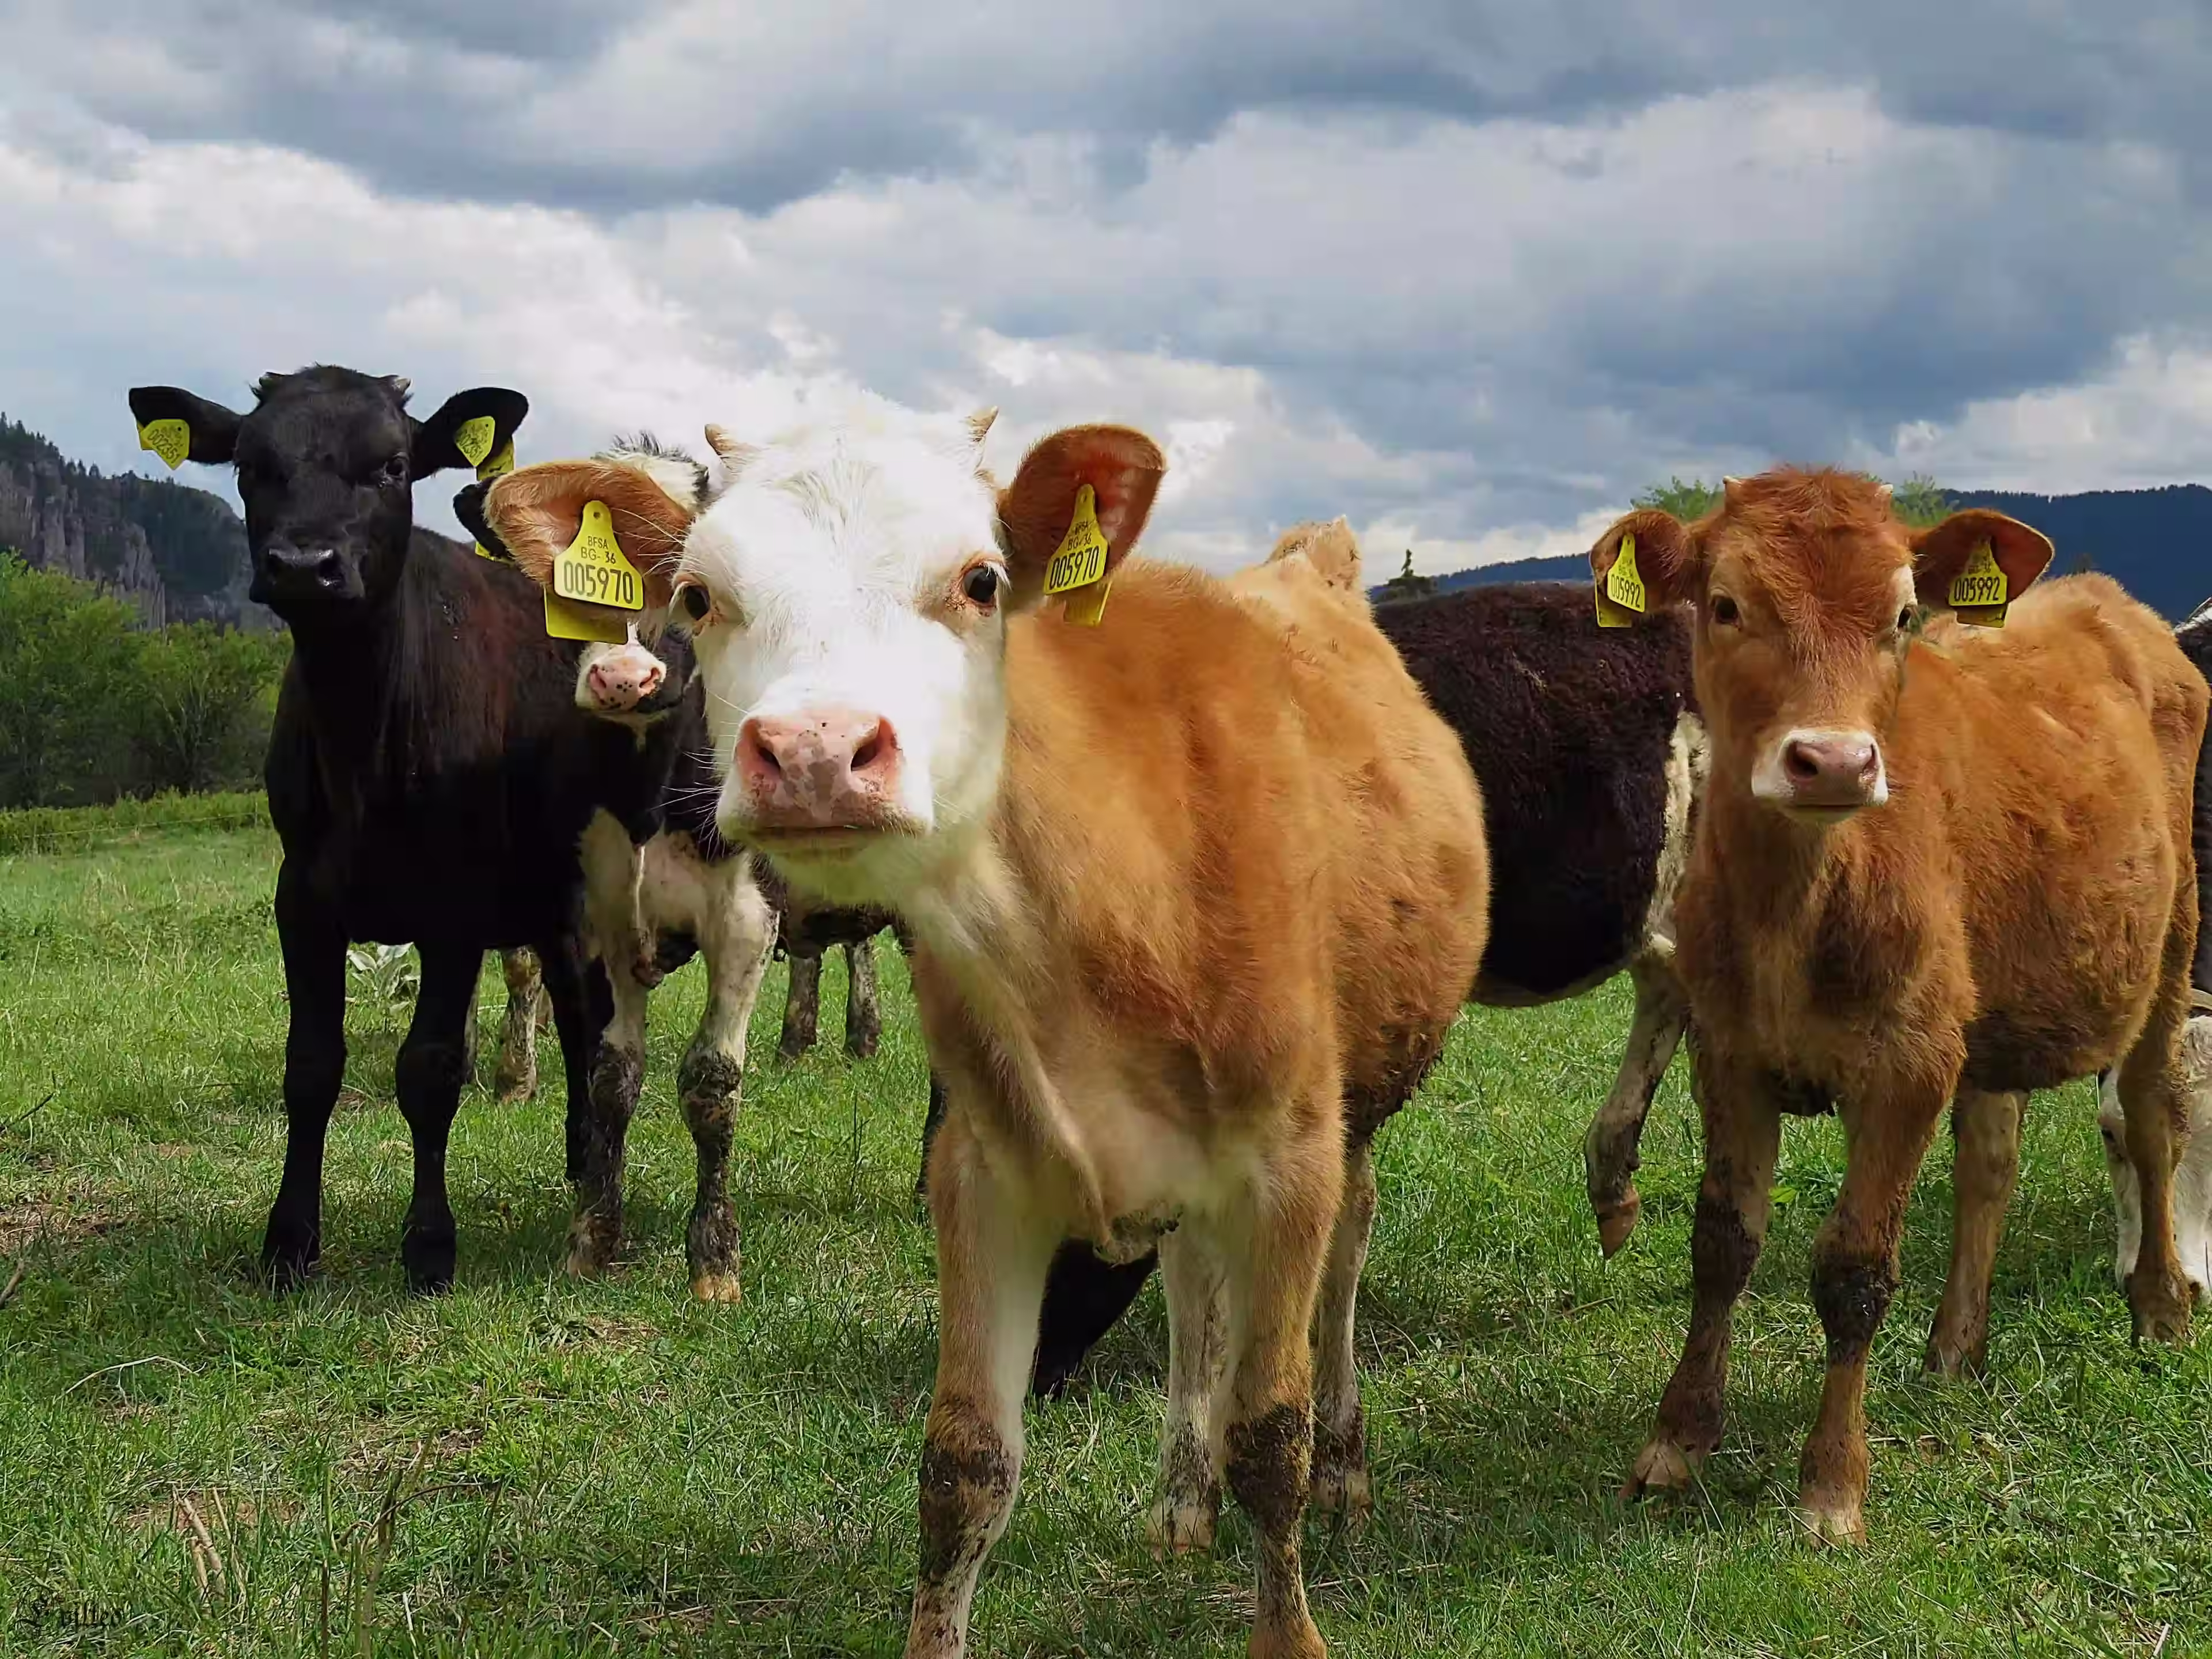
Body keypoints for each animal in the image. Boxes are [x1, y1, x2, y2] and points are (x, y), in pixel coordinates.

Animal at [125, 369, 750, 1296]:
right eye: (248, 465)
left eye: (391, 465)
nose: (305, 566)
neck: (365, 744)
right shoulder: (300, 897)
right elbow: (310, 1065)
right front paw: (289, 1241)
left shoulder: (453, 908)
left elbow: (429, 1069)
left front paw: (428, 1246)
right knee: (579, 1015)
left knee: (579, 1015)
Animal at [479, 402, 1493, 1659]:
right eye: (704, 595)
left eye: (979, 579)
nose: (816, 752)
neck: (1118, 903)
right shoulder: (983, 1168)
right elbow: (964, 1464)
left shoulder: (1288, 1156)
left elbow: (1274, 1435)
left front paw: (1291, 1611)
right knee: (1194, 1285)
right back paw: (1181, 1494)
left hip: (1354, 1116)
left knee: (1344, 1256)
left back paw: (1343, 1469)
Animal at [1592, 467, 2204, 1545]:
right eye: (1726, 605)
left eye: (1903, 616)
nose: (1835, 761)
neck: (1800, 903)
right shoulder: (1729, 1050)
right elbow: (1721, 1243)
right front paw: (1677, 1439)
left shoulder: (1908, 1065)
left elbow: (1853, 1267)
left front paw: (1832, 1484)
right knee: (1991, 1162)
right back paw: (1955, 1347)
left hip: (2169, 950)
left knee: (2151, 1116)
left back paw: (2160, 1305)